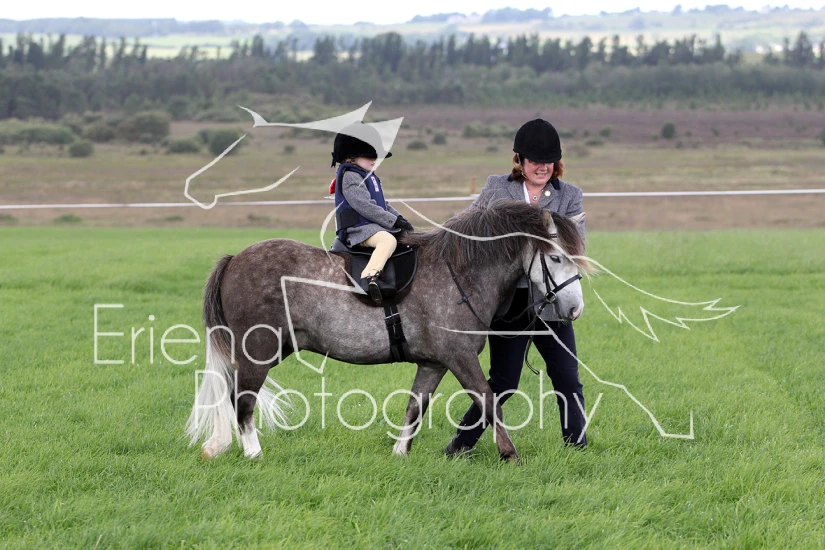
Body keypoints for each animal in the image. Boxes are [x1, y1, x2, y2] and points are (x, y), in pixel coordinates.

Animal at [186, 199, 589, 462]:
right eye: (556, 257)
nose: (574, 310)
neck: (458, 273)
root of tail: (234, 259)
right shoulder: (459, 358)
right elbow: (489, 401)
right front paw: (510, 454)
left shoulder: (433, 364)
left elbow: (415, 407)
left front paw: (400, 453)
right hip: (257, 350)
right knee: (242, 400)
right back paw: (253, 454)